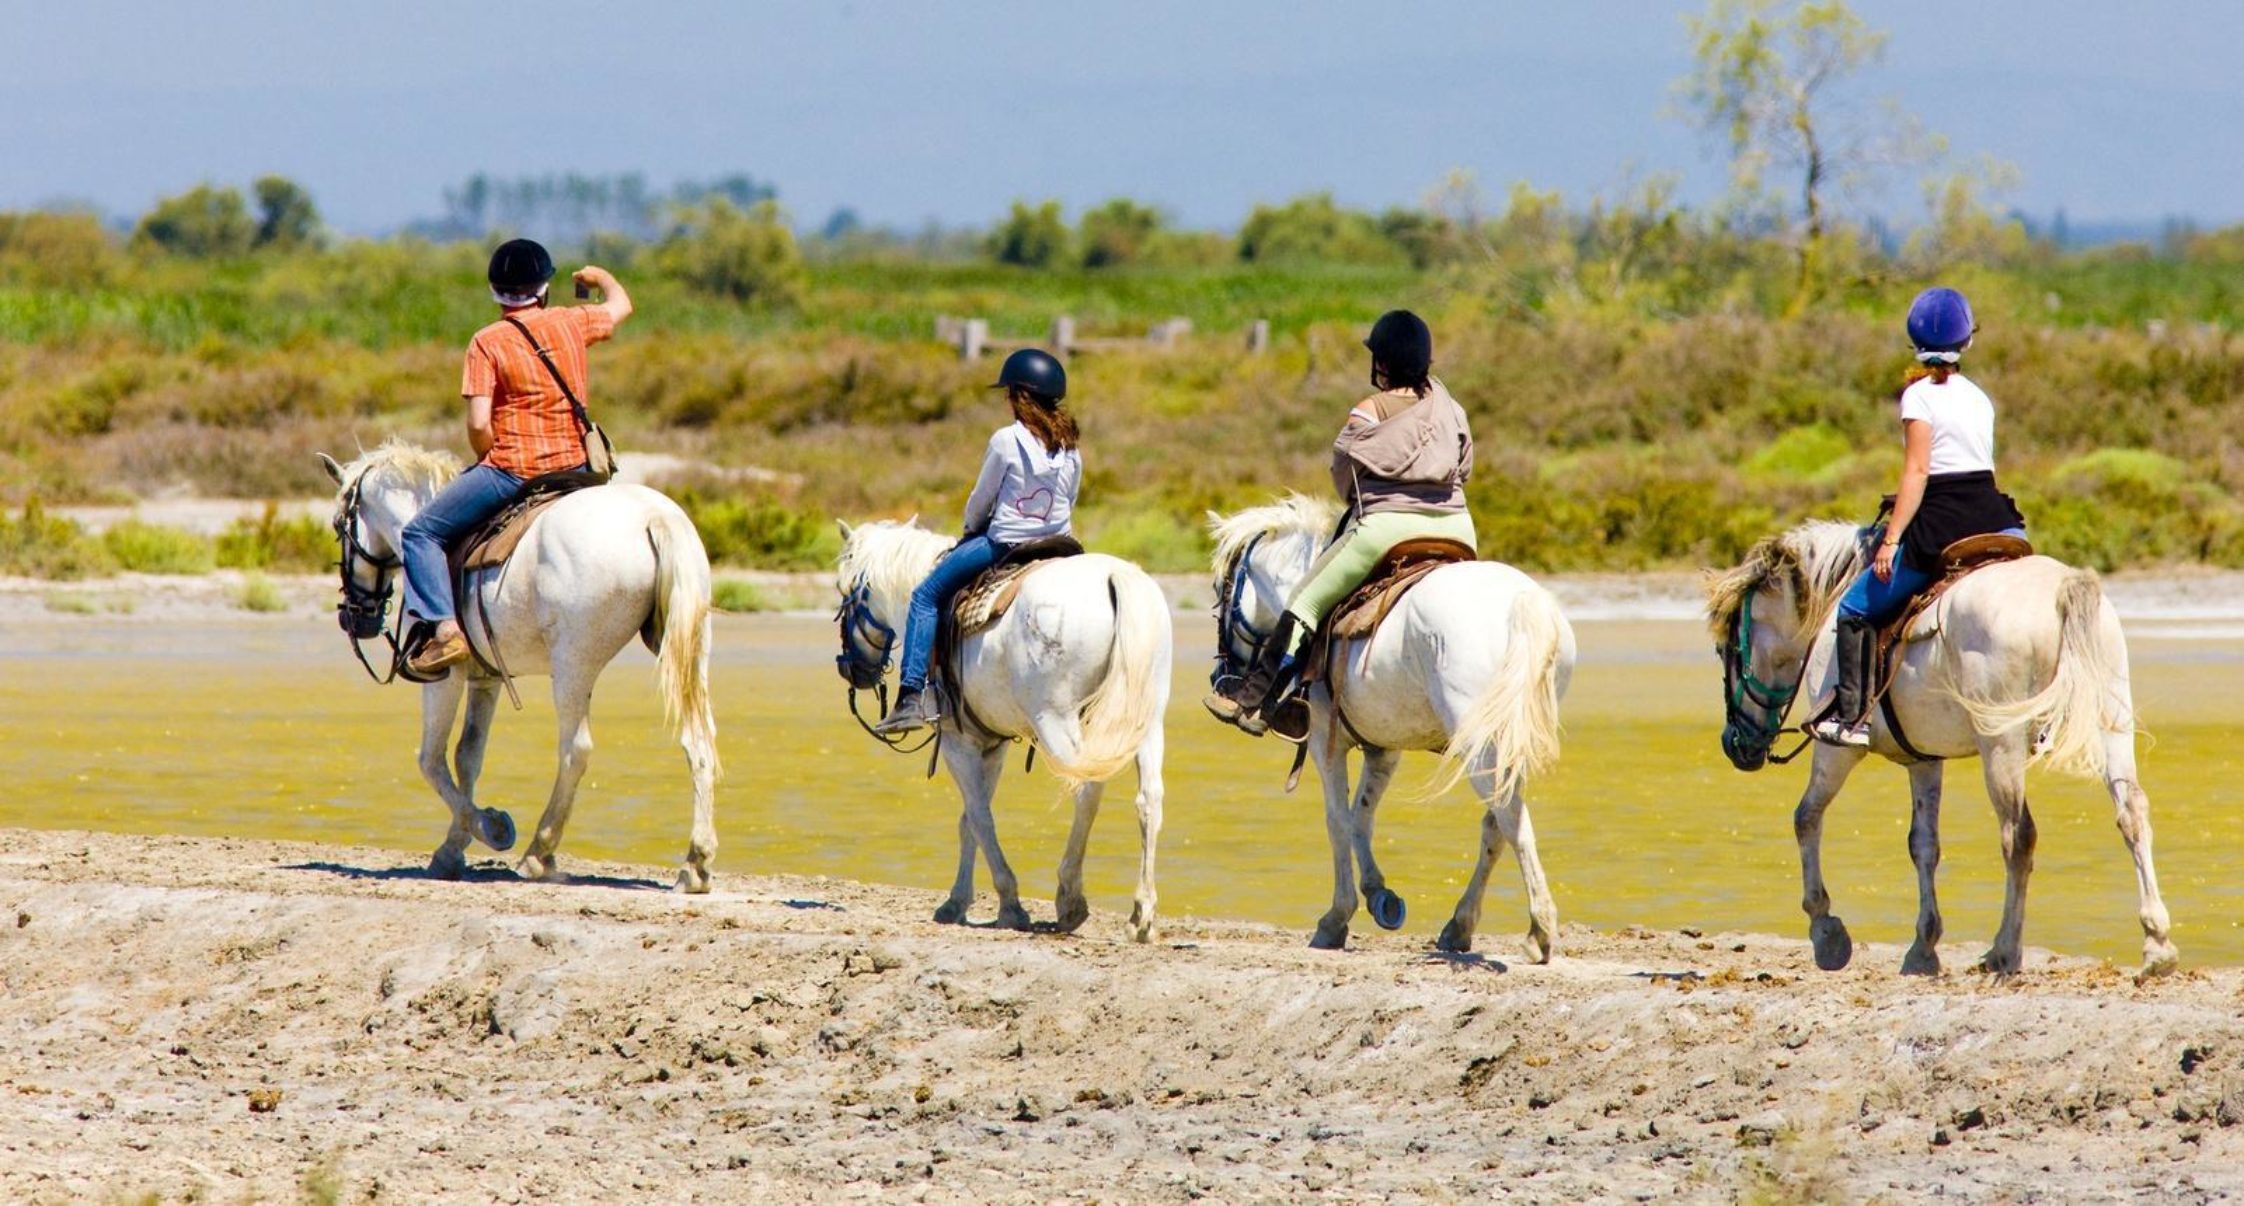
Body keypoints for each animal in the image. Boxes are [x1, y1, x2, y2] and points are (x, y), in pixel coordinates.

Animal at [316, 440, 713, 884]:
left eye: (338, 525)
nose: (355, 617)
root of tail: (655, 516)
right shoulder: (484, 680)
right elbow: (467, 757)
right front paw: (453, 847)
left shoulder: (444, 676)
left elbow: (431, 760)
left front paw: (492, 827)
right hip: (688, 651)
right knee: (697, 741)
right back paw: (695, 863)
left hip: (573, 665)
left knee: (575, 750)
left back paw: (539, 853)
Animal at [839, 516, 1175, 938]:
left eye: (845, 592)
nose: (851, 669)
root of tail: (1114, 577)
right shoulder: (990, 743)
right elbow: (969, 819)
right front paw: (956, 902)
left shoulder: (957, 741)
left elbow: (980, 816)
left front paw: (1010, 905)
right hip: (1144, 722)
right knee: (1148, 799)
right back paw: (1141, 915)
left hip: (1059, 723)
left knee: (1086, 790)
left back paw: (1070, 900)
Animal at [1220, 494, 1570, 956]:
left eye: (1221, 593)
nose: (1222, 678)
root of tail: (1523, 602)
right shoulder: (1383, 750)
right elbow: (1361, 816)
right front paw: (1380, 896)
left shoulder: (1326, 742)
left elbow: (1338, 820)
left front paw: (1336, 919)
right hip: (1507, 741)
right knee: (1496, 823)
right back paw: (1460, 927)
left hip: (1481, 743)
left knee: (1509, 816)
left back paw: (1538, 930)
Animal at [1696, 521, 2172, 974]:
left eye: (1724, 649)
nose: (1735, 745)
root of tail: (2063, 587)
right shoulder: (1923, 759)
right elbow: (1923, 844)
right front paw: (1923, 947)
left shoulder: (1837, 749)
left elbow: (1806, 818)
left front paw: (1826, 931)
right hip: (2112, 726)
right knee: (2131, 813)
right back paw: (2157, 945)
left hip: (2000, 746)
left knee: (2017, 836)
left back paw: (2005, 950)